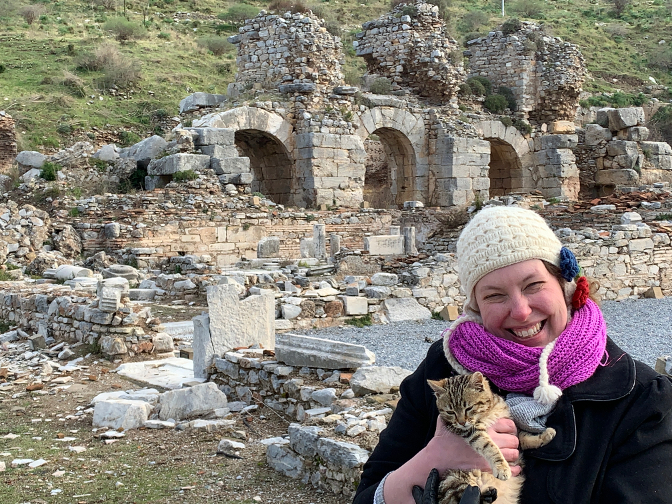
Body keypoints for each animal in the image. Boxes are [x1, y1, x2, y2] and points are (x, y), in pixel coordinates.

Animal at [430, 372, 556, 502]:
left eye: (469, 408)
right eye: (450, 412)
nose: (461, 423)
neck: (489, 411)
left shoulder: (510, 427)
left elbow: (523, 437)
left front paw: (544, 436)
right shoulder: (472, 432)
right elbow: (489, 446)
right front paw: (502, 468)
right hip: (453, 480)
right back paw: (485, 494)